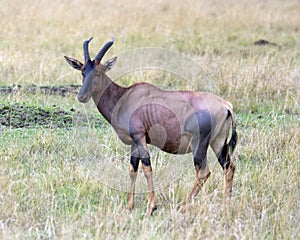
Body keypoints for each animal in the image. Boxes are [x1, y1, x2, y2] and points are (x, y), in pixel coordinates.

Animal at [65, 38, 237, 216]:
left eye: (98, 72)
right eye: (83, 71)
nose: (82, 96)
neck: (125, 96)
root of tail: (225, 105)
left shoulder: (140, 137)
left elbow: (147, 169)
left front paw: (151, 207)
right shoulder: (134, 142)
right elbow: (132, 169)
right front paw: (129, 206)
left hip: (199, 144)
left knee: (203, 172)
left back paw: (184, 206)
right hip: (218, 143)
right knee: (229, 167)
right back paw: (226, 205)